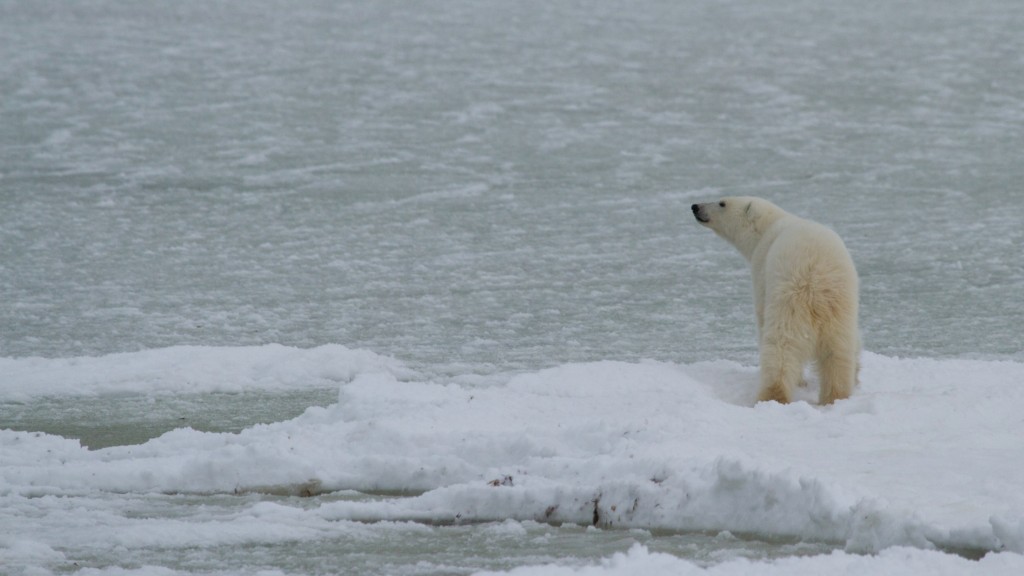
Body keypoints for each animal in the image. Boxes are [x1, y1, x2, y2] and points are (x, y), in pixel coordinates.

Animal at [692, 196, 860, 403]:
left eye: (722, 203)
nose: (695, 207)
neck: (770, 225)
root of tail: (817, 279)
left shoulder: (761, 268)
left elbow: (761, 318)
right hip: (840, 308)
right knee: (839, 351)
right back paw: (836, 395)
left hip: (790, 300)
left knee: (781, 348)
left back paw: (773, 395)